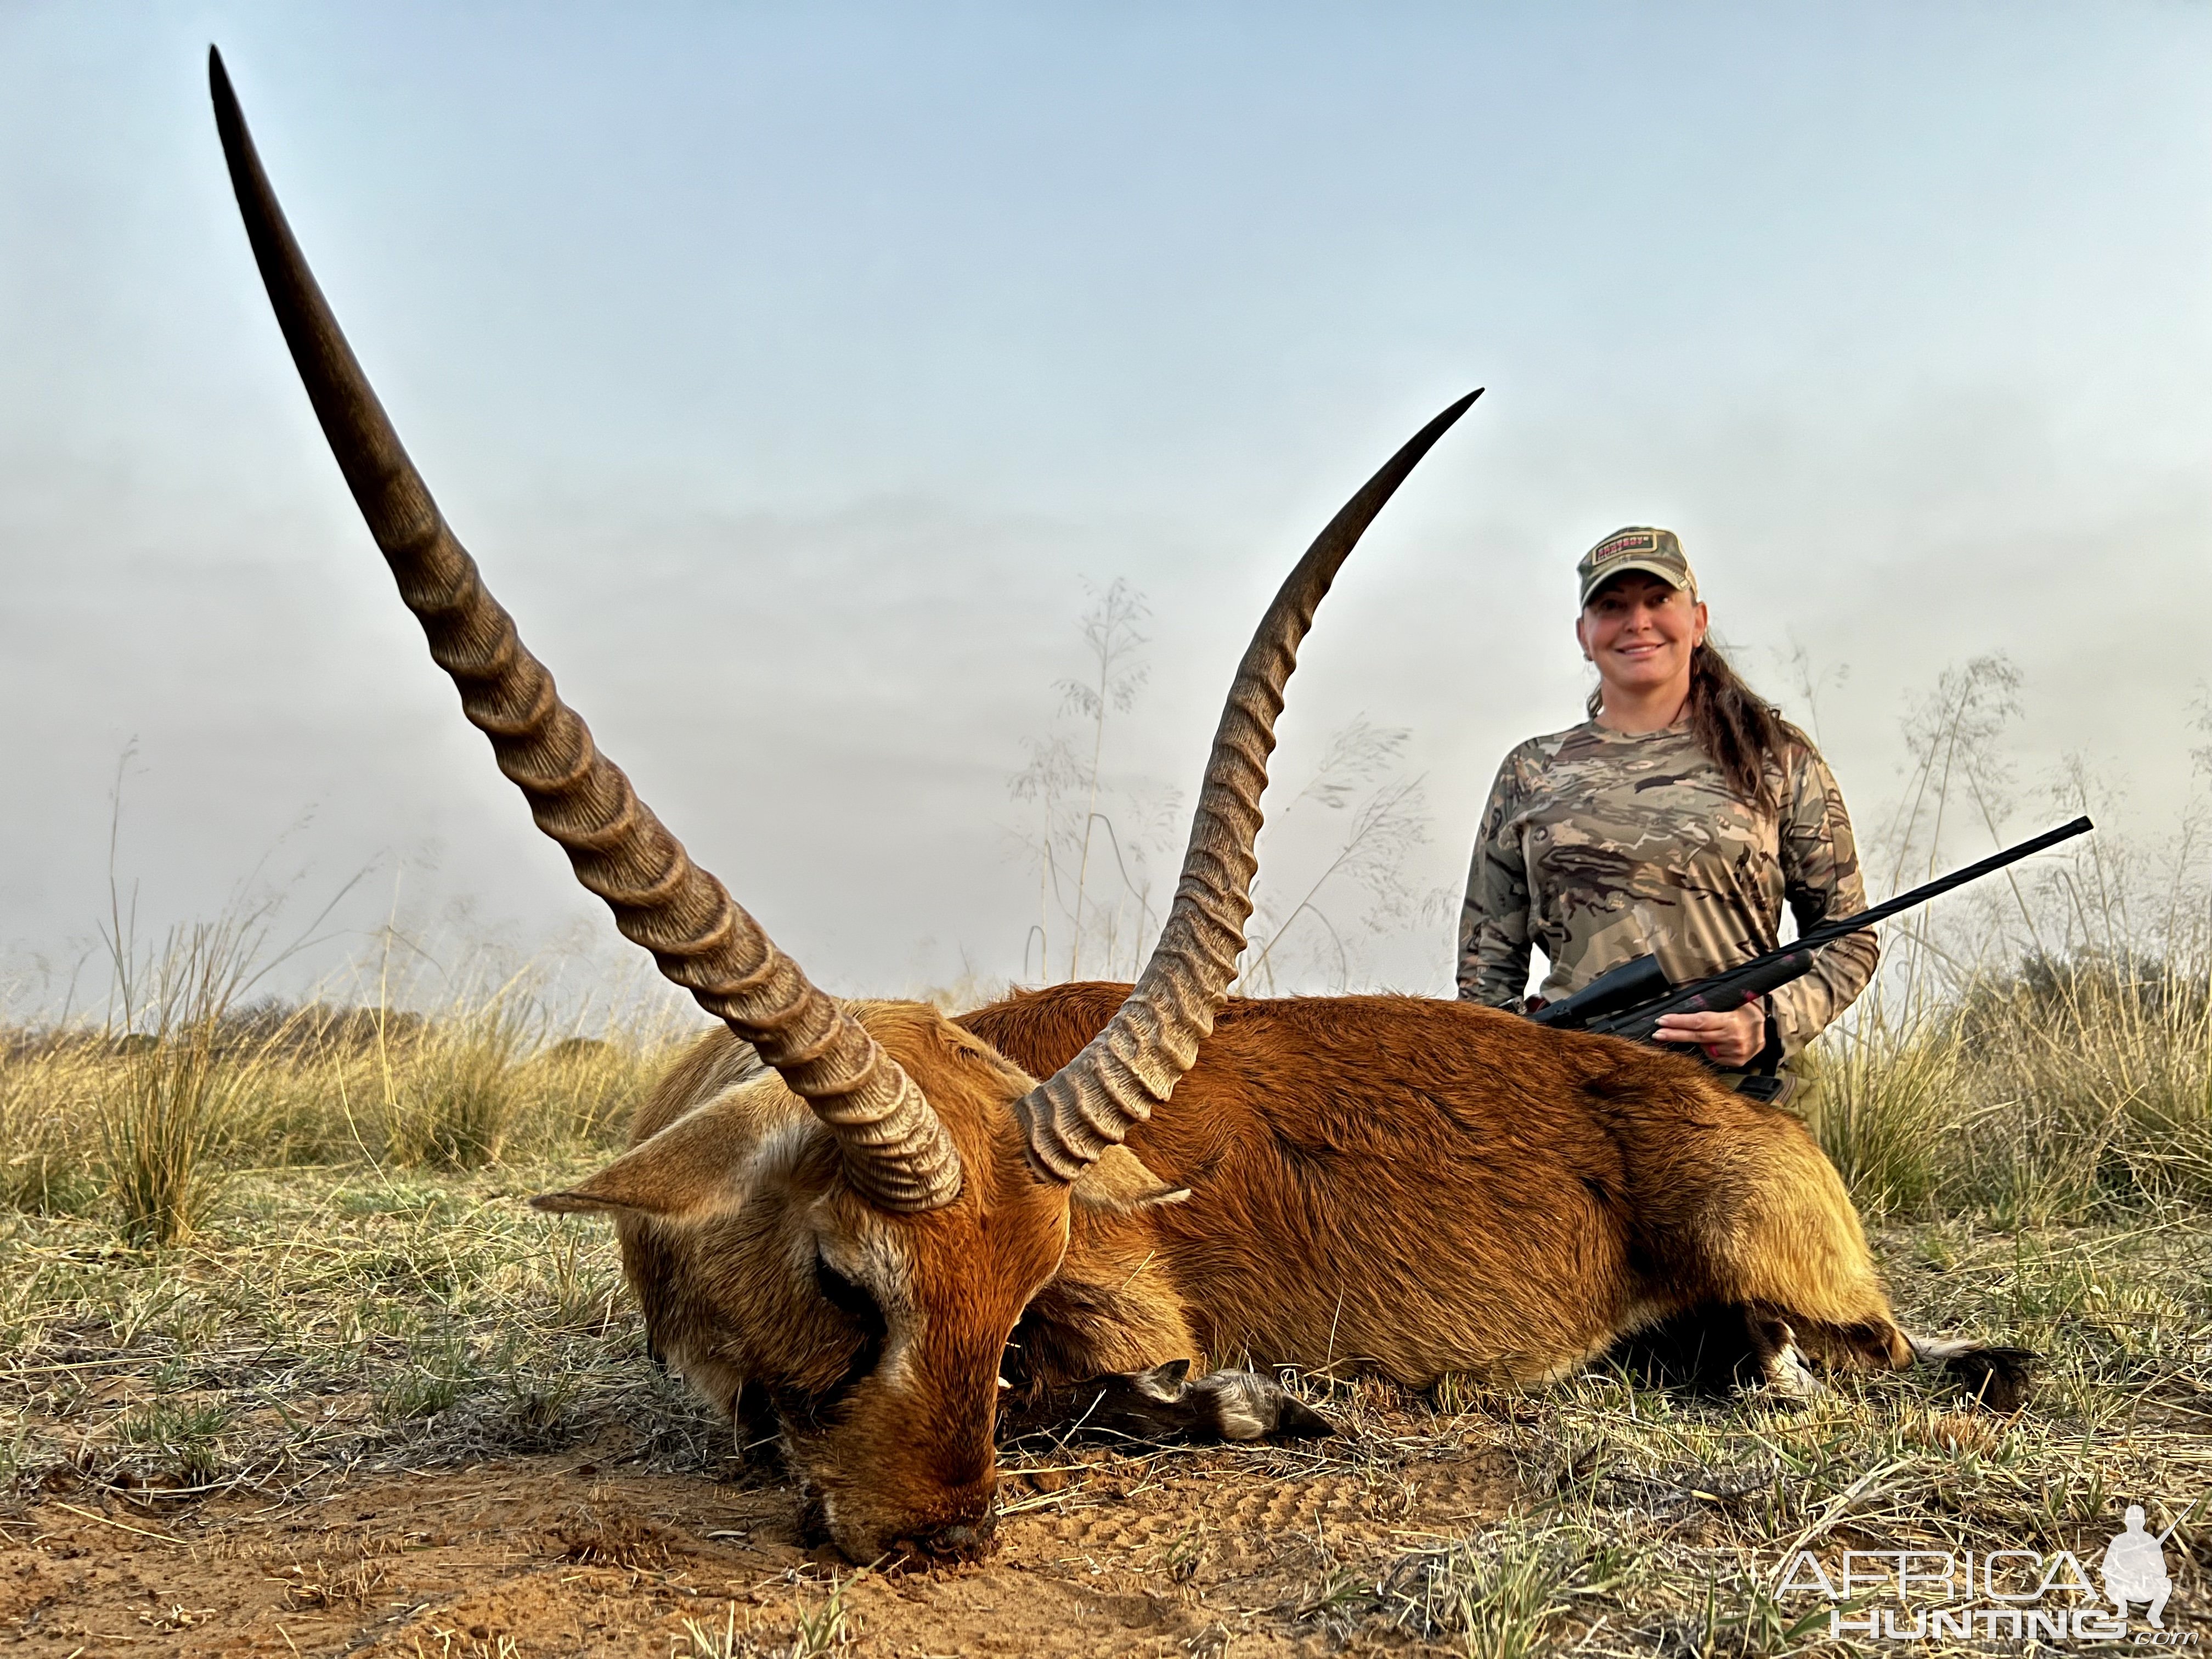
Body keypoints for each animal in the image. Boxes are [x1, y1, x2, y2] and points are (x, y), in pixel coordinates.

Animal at [216, 48, 2026, 1557]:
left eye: (1022, 1282)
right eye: (846, 1278)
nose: (940, 1536)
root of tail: (1730, 1107)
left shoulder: (1120, 1303)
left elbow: (1104, 1393)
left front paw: (1264, 1400)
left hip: (1800, 1279)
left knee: (1893, 1355)